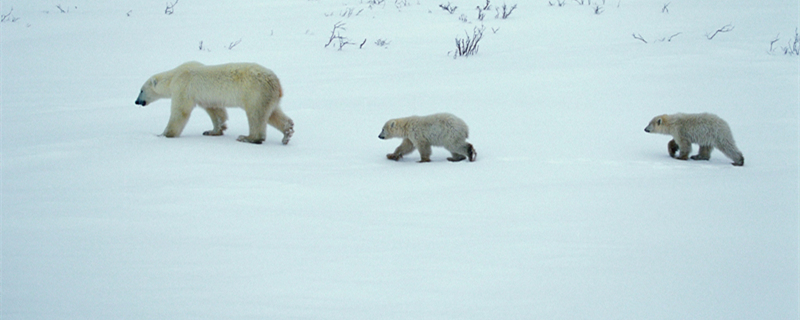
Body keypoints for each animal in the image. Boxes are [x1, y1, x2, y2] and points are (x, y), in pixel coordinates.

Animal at [136, 61, 296, 144]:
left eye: (141, 90)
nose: (137, 101)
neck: (174, 76)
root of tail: (276, 81)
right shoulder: (207, 98)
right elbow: (216, 112)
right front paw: (212, 131)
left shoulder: (183, 87)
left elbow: (180, 112)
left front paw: (163, 134)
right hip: (267, 96)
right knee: (273, 113)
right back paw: (287, 133)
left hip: (255, 92)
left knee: (256, 115)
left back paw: (248, 137)